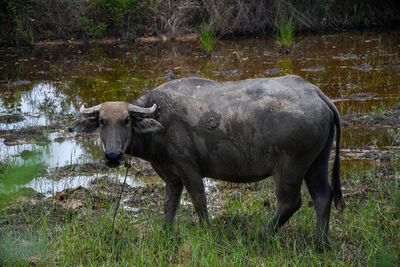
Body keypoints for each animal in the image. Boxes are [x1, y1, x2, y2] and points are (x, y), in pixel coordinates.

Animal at [69, 75, 344, 245]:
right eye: (101, 121)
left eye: (126, 120)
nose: (113, 156)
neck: (160, 123)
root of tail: (316, 93)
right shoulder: (171, 176)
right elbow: (169, 205)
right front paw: (165, 232)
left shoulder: (189, 169)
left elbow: (199, 201)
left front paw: (207, 231)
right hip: (317, 162)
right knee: (322, 196)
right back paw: (321, 242)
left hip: (290, 167)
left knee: (290, 202)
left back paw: (261, 235)